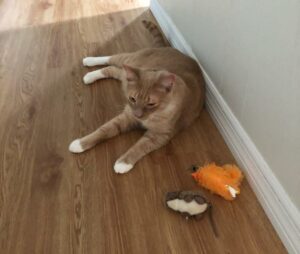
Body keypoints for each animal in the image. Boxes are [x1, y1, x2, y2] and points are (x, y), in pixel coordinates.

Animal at [69, 20, 205, 174]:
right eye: (132, 99)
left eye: (151, 104)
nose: (138, 115)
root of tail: (168, 48)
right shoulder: (126, 117)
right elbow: (103, 130)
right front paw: (80, 143)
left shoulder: (159, 136)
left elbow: (139, 147)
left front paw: (123, 163)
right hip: (128, 60)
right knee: (112, 60)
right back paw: (90, 61)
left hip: (125, 74)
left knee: (113, 70)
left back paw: (90, 75)